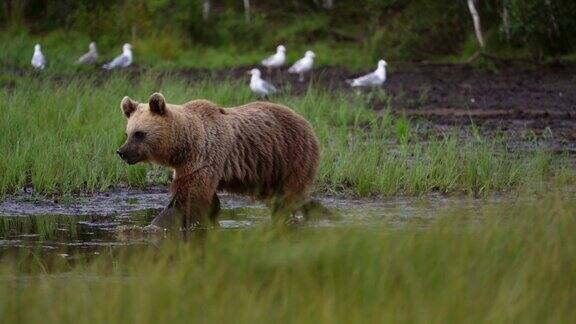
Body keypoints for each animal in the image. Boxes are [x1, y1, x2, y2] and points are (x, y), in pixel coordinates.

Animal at [116, 91, 324, 228]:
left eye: (139, 134)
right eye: (127, 133)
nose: (122, 152)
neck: (183, 146)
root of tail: (306, 122)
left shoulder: (204, 157)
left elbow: (188, 197)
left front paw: (158, 225)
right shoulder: (189, 165)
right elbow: (207, 200)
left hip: (290, 155)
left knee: (288, 195)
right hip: (270, 169)